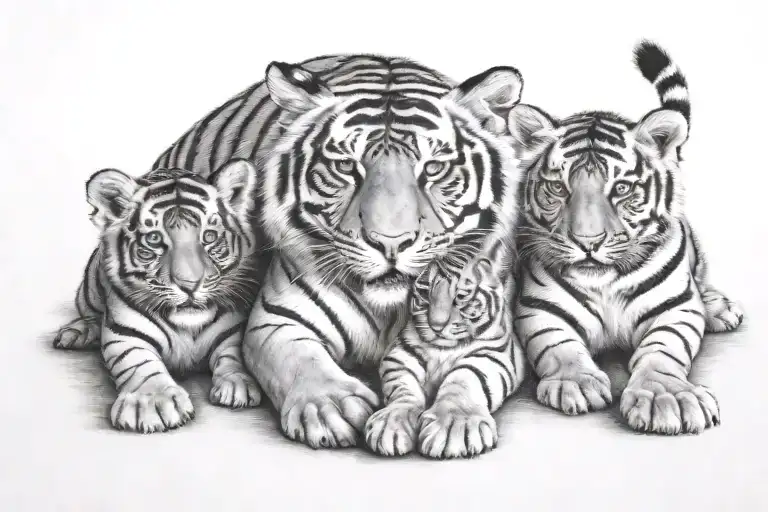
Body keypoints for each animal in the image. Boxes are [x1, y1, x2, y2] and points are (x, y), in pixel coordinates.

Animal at [53, 159, 265, 433]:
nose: (190, 285)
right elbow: (139, 363)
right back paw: (75, 333)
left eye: (209, 236)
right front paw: (153, 401)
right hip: (89, 289)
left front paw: (239, 383)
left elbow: (233, 354)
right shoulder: (126, 335)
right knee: (90, 314)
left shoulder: (233, 328)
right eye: (154, 239)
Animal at [364, 245, 525, 459]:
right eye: (425, 293)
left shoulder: (493, 353)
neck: (444, 348)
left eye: (461, 296)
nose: (436, 326)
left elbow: (464, 379)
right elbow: (402, 387)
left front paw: (454, 425)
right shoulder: (400, 355)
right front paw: (391, 422)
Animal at [507, 40, 744, 435]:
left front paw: (668, 397)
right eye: (558, 187)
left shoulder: (674, 309)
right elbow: (557, 344)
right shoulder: (539, 307)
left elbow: (664, 349)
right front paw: (576, 382)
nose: (588, 242)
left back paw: (719, 308)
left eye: (620, 188)